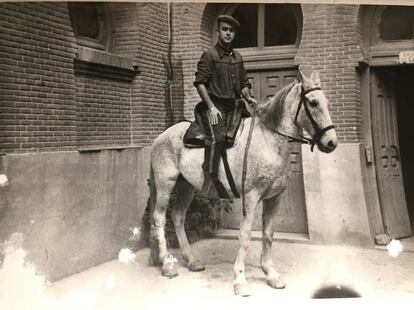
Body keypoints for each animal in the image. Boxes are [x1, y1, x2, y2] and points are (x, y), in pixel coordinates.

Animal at [148, 68, 336, 296]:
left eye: (327, 102)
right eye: (313, 103)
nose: (331, 142)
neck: (269, 141)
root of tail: (161, 136)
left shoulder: (274, 198)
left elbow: (268, 234)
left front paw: (271, 274)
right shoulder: (251, 197)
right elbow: (245, 237)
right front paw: (240, 280)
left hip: (186, 186)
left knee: (177, 217)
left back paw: (191, 261)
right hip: (166, 183)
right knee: (159, 218)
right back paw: (167, 264)